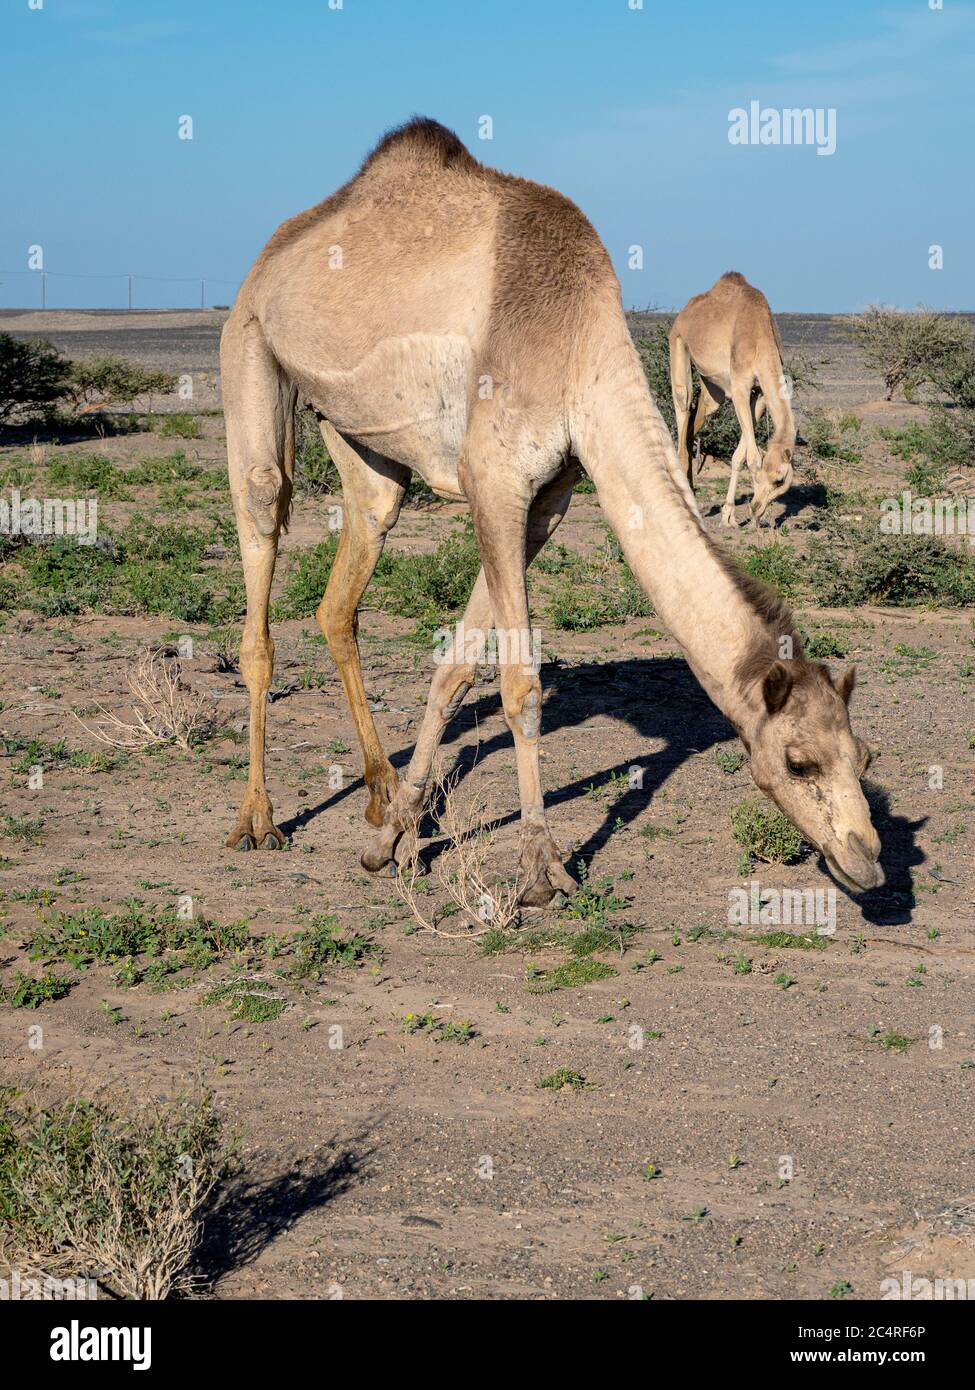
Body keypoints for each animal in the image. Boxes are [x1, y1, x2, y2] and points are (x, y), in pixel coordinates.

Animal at [670, 271, 801, 525]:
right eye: (779, 479)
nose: (757, 507)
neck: (761, 338)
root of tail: (684, 312)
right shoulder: (740, 386)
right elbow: (753, 457)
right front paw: (744, 518)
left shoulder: (759, 394)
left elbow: (739, 455)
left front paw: (729, 514)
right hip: (678, 343)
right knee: (683, 402)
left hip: (712, 388)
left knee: (697, 417)